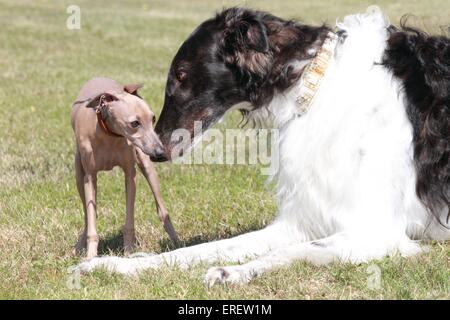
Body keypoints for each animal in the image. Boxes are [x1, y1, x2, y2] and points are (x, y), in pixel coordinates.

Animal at [71, 77, 178, 258]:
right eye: (134, 123)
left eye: (153, 118)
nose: (160, 152)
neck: (108, 134)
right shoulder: (90, 177)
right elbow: (91, 218)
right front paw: (91, 257)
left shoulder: (130, 174)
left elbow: (129, 221)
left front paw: (128, 252)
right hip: (79, 174)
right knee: (88, 214)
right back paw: (79, 246)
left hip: (145, 163)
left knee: (162, 211)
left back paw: (177, 241)